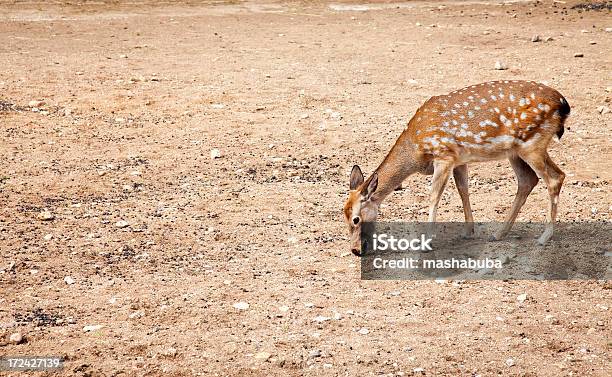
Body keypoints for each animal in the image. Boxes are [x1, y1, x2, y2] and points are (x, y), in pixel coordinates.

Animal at [344, 79, 568, 256]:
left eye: (355, 219)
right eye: (343, 214)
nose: (355, 250)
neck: (416, 150)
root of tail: (563, 104)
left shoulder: (443, 155)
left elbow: (434, 196)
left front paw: (426, 243)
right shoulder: (459, 160)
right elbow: (463, 190)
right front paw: (469, 231)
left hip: (533, 144)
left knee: (555, 177)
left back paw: (544, 236)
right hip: (515, 151)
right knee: (528, 180)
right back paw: (498, 233)